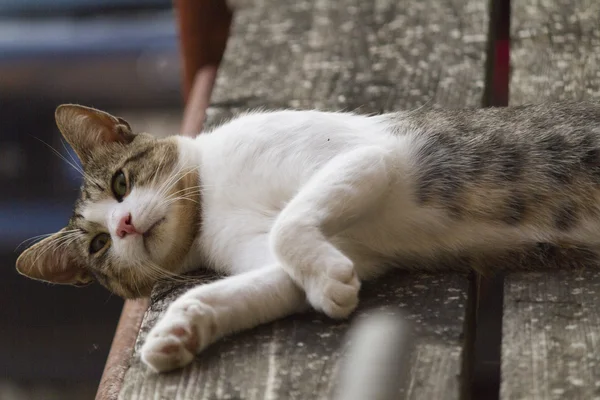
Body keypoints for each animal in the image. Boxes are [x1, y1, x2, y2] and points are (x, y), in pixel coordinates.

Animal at [15, 102, 600, 372]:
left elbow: (288, 227)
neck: (209, 205)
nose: (123, 226)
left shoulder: (366, 156)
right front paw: (179, 330)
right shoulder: (342, 253)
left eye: (121, 183)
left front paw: (329, 281)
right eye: (98, 246)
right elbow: (270, 280)